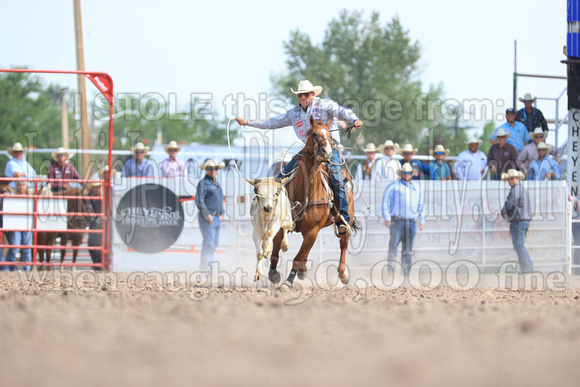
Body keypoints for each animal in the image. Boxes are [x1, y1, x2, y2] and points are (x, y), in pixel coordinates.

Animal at [268, 116, 358, 290]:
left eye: (330, 136)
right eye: (314, 134)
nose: (327, 152)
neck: (303, 191)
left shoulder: (312, 231)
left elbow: (297, 257)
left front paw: (287, 282)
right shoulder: (283, 225)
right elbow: (276, 251)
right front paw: (273, 274)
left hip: (347, 218)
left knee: (343, 241)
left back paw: (343, 274)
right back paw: (303, 271)